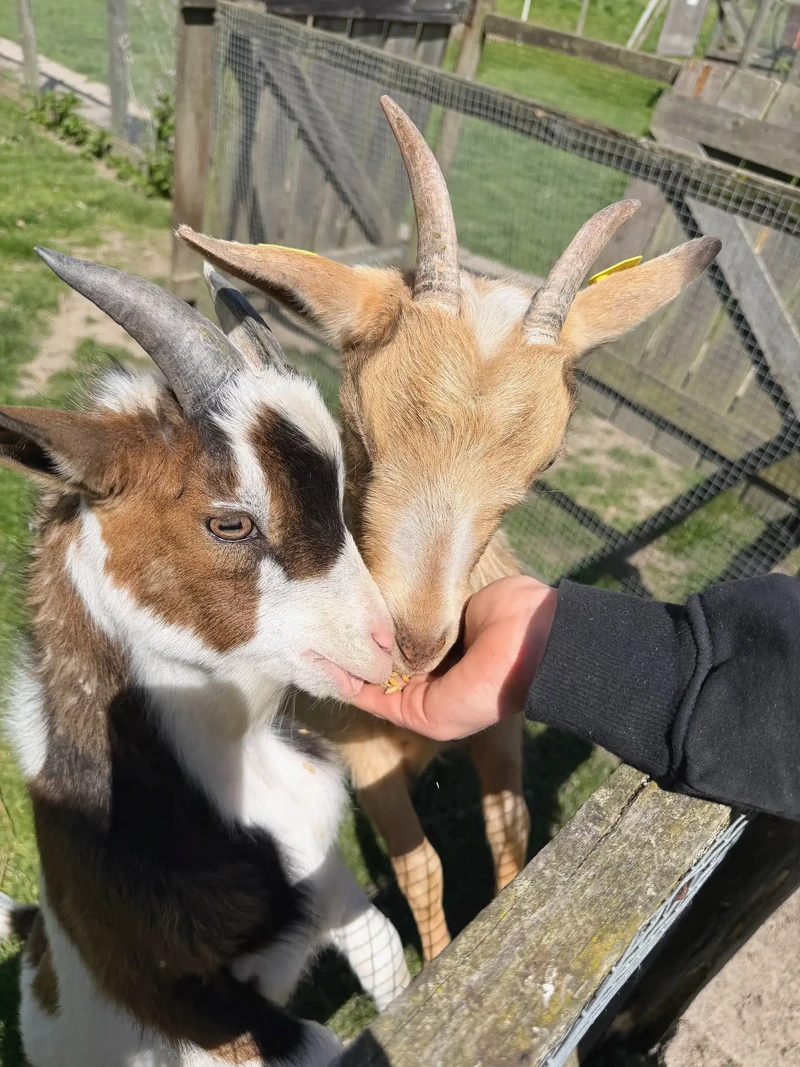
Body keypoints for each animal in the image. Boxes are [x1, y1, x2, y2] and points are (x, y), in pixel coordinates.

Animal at [0, 251, 410, 1067]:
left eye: (340, 487)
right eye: (230, 522)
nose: (383, 641)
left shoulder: (329, 874)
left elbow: (387, 953)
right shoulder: (179, 1000)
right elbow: (318, 1044)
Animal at [178, 96, 721, 961]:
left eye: (545, 462)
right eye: (358, 428)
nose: (416, 641)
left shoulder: (498, 718)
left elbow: (511, 825)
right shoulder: (364, 754)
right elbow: (421, 867)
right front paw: (439, 964)